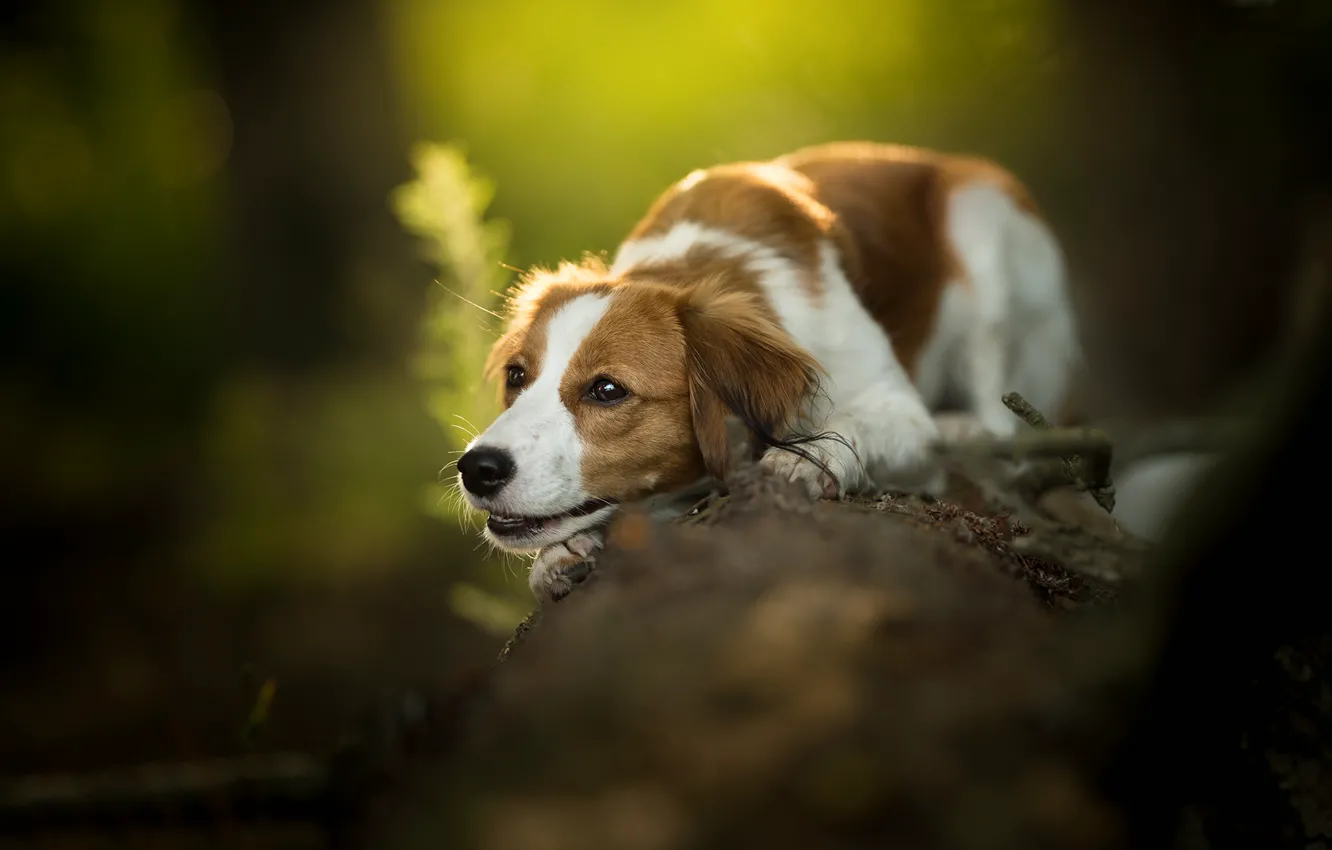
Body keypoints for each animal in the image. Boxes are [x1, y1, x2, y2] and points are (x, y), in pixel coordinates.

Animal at [458, 143, 1081, 602]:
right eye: (517, 377)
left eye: (607, 389)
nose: (477, 469)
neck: (704, 265)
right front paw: (566, 551)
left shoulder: (896, 409)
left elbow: (850, 425)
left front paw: (812, 457)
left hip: (982, 224)